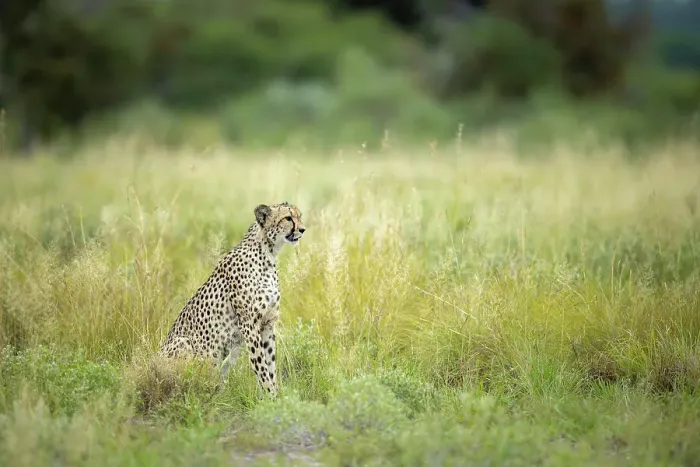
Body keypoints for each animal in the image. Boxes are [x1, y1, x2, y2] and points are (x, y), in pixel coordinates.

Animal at [158, 201, 306, 396]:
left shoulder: (268, 323)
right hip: (184, 343)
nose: (303, 229)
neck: (268, 253)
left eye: (299, 216)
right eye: (288, 218)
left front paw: (276, 396)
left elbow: (271, 364)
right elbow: (260, 365)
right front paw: (269, 395)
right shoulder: (249, 324)